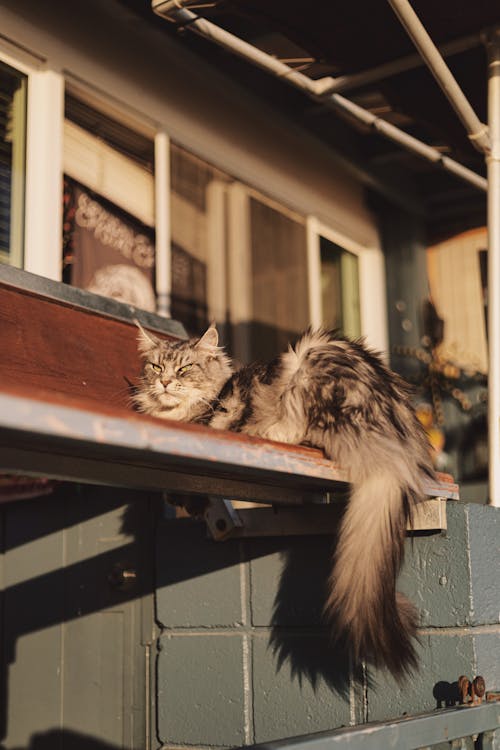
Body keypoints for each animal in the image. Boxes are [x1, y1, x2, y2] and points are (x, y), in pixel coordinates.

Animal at [133, 324, 434, 680]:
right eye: (155, 367)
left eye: (184, 369)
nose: (165, 382)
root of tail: (398, 445)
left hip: (306, 366)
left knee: (296, 430)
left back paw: (269, 434)